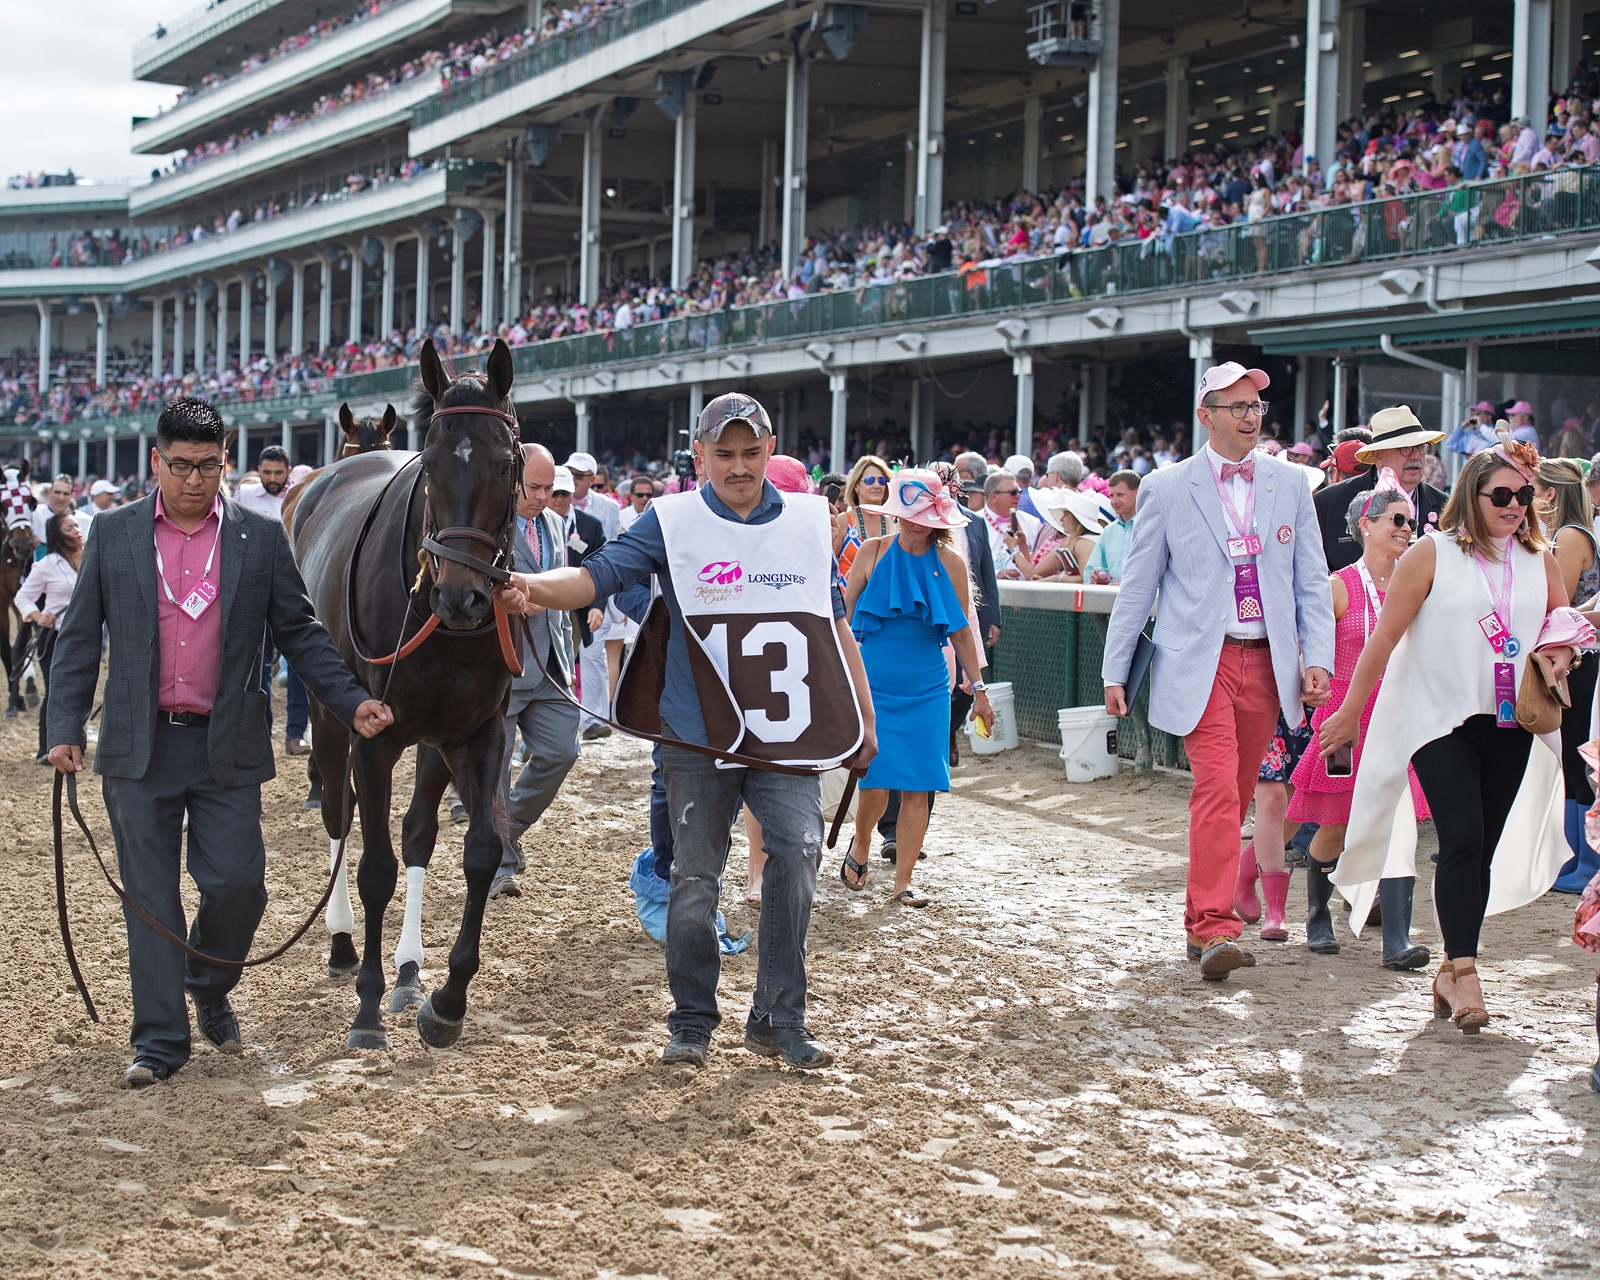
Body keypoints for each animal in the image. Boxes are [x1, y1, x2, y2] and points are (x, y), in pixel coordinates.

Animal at [284, 342, 515, 1049]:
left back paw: (410, 971)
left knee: (416, 834)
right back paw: (341, 944)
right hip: (330, 717)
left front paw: (446, 999)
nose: (463, 597)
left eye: (507, 462)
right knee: (339, 815)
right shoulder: (374, 732)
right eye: (432, 462)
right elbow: (375, 867)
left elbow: (476, 852)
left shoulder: (475, 731)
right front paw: (365, 1007)